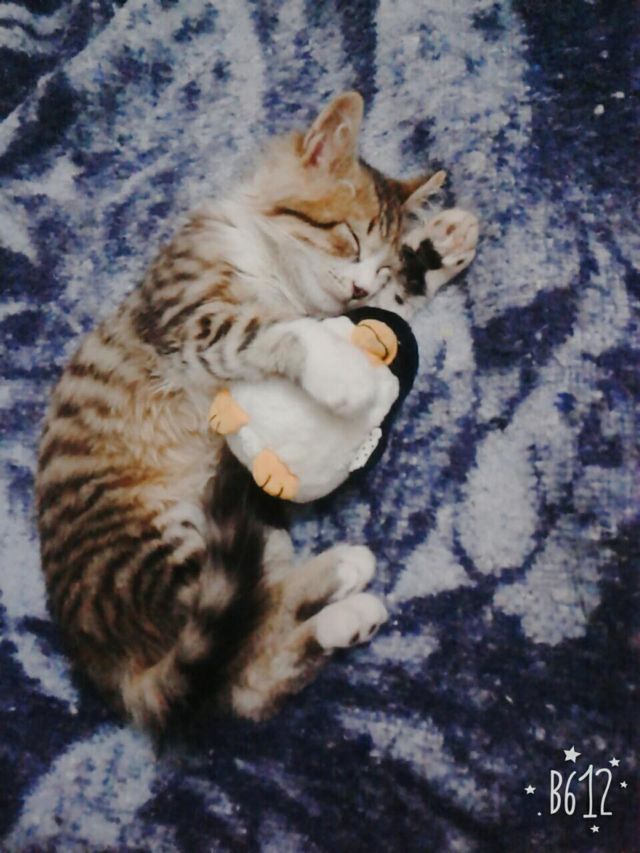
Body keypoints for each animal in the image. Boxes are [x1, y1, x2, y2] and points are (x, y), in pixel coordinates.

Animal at [36, 92, 478, 731]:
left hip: (245, 539)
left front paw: (438, 247)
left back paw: (341, 598)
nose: (361, 283)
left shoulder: (349, 309)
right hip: (168, 547)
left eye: (384, 263)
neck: (273, 267)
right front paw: (343, 374)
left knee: (248, 668)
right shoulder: (188, 320)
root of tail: (103, 663)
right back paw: (345, 587)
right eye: (349, 237)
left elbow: (386, 311)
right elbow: (270, 328)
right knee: (243, 636)